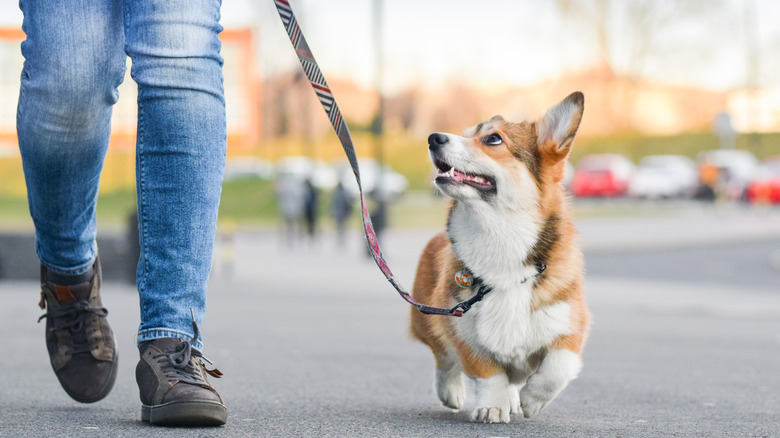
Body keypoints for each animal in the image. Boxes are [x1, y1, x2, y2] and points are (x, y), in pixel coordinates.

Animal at [412, 92, 588, 424]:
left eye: (492, 138)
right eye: (466, 133)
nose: (433, 137)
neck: (500, 237)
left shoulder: (570, 325)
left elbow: (558, 367)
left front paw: (532, 400)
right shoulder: (462, 328)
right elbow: (488, 373)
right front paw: (492, 406)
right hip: (427, 318)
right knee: (444, 358)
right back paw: (452, 392)